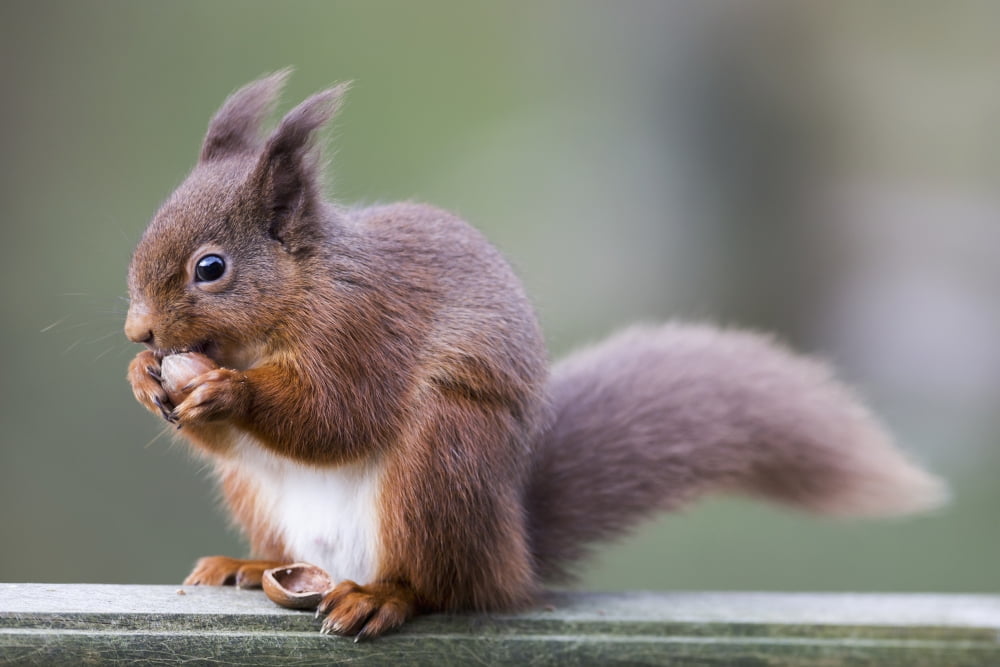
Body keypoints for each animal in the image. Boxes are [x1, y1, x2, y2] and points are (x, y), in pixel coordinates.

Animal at [125, 71, 946, 640]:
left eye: (210, 268)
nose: (138, 331)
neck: (298, 291)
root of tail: (510, 554)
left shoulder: (362, 330)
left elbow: (336, 414)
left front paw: (228, 390)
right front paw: (144, 381)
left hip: (442, 461)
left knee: (438, 587)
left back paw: (381, 596)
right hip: (260, 495)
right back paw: (248, 565)